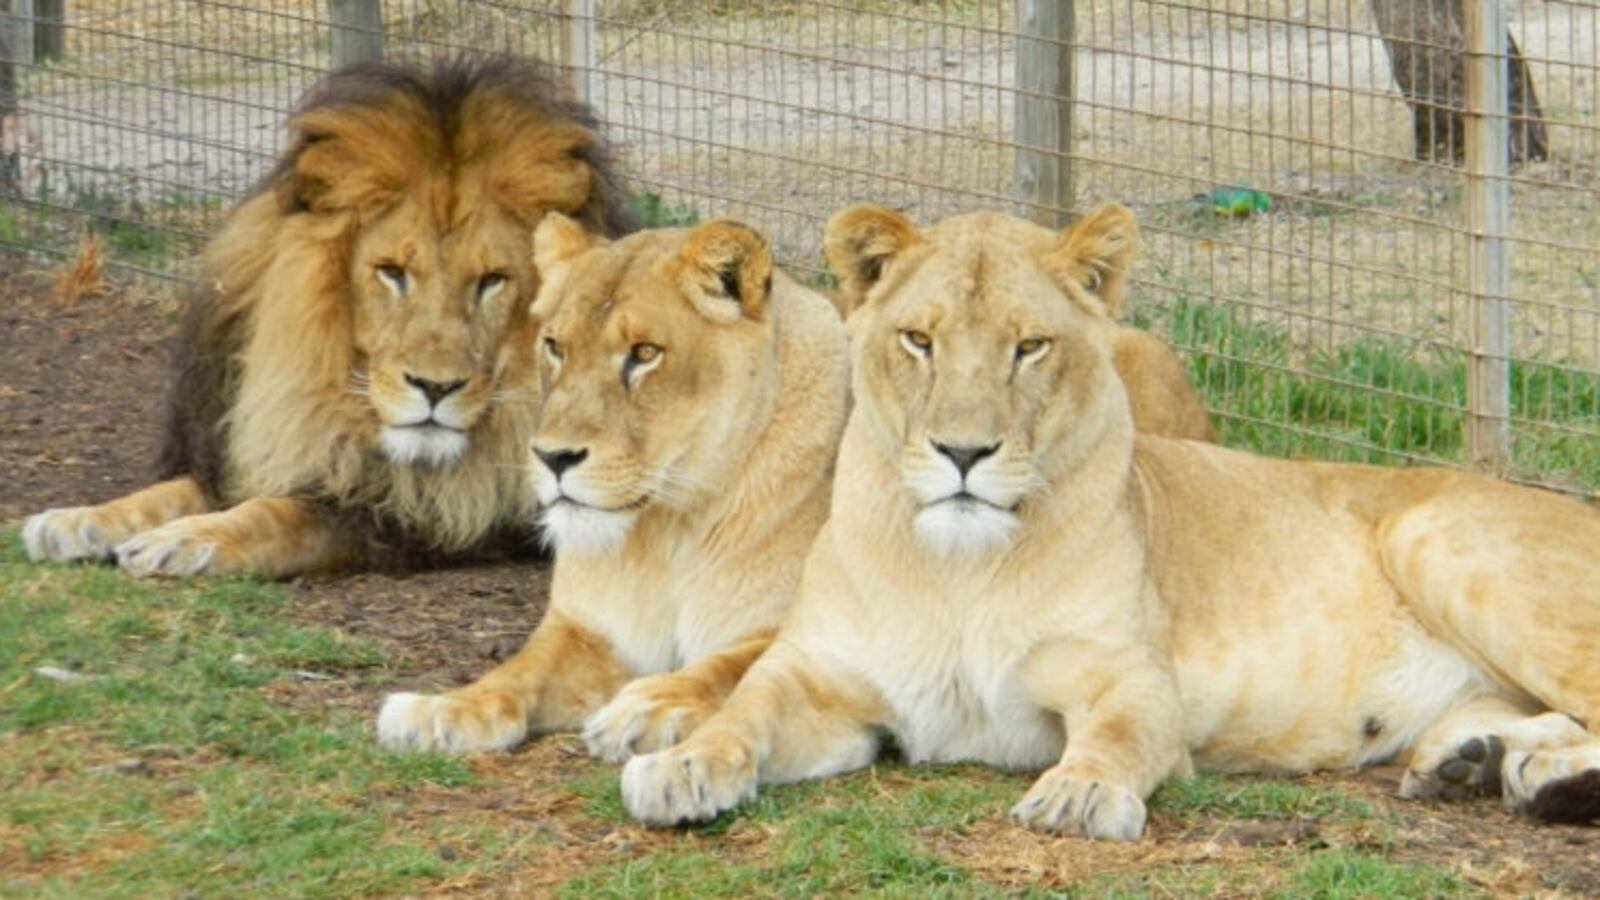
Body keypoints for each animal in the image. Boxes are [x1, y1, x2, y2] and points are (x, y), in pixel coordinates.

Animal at [22, 58, 630, 578]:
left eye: (491, 280)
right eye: (392, 272)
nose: (435, 388)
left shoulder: (429, 511)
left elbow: (282, 514)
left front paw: (189, 539)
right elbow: (175, 490)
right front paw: (78, 521)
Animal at [375, 214, 851, 755]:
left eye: (644, 353)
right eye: (555, 347)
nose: (553, 457)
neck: (666, 533)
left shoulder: (807, 631)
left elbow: (727, 667)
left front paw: (649, 706)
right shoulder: (586, 629)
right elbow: (519, 670)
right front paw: (442, 708)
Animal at [617, 203, 1600, 837]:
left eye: (1030, 347)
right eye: (919, 341)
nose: (963, 453)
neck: (955, 568)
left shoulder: (1135, 680)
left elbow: (1118, 737)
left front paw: (1080, 795)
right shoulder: (823, 677)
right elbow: (744, 710)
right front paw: (679, 767)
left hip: (1435, 539)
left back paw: (1541, 784)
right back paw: (1479, 763)